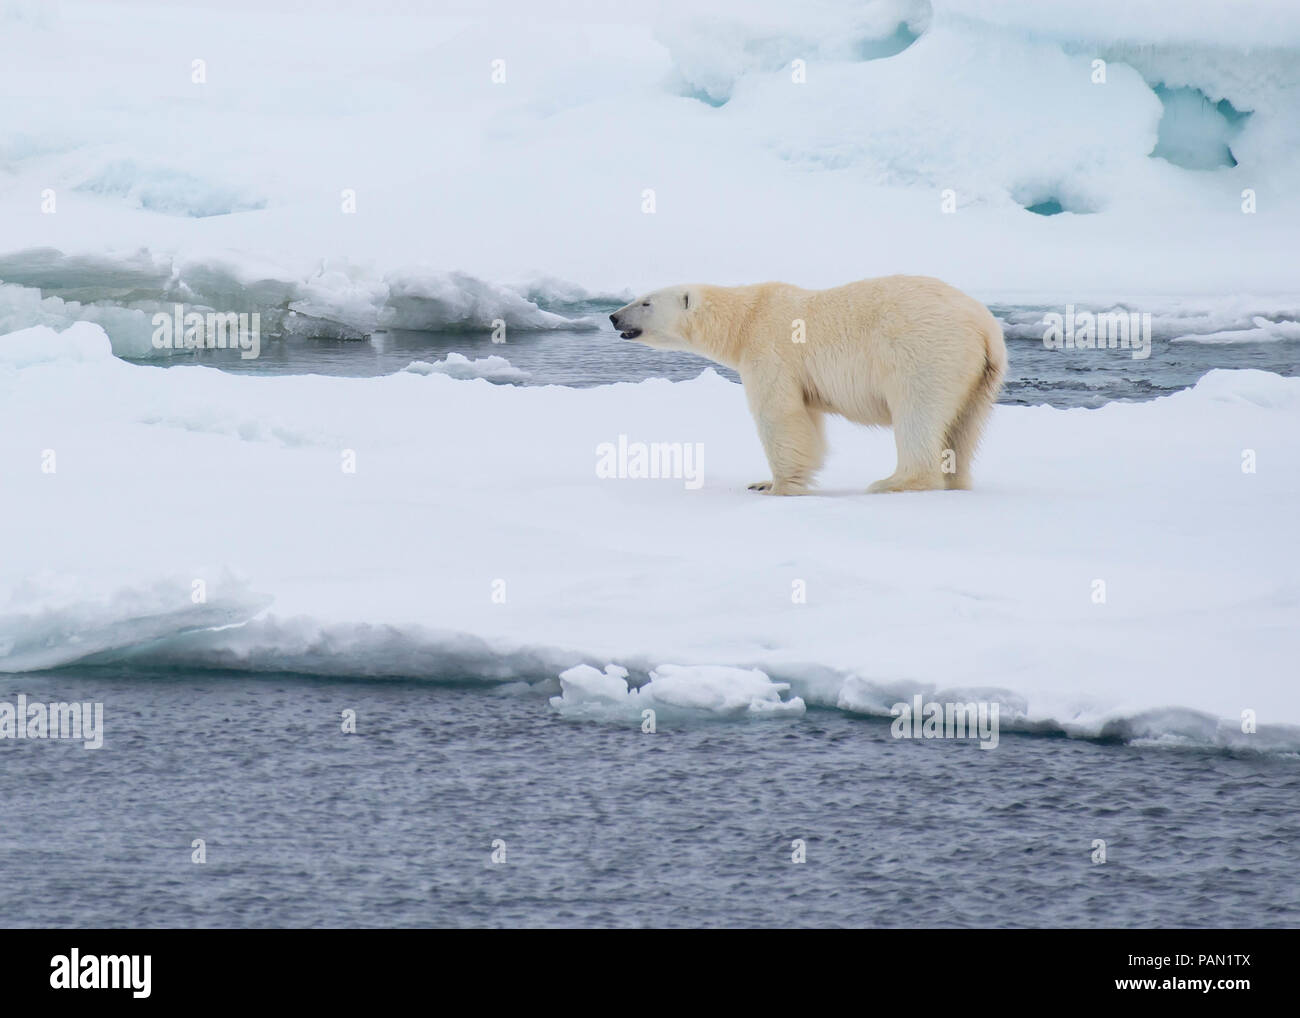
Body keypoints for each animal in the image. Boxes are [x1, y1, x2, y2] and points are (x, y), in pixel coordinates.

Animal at [608, 276, 1003, 496]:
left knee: (917, 413)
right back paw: (955, 480)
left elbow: (779, 415)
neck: (746, 318)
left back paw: (893, 482)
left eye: (645, 302)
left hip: (925, 353)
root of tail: (985, 327)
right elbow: (807, 418)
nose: (613, 316)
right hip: (979, 376)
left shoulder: (771, 350)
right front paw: (762, 483)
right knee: (964, 427)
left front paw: (779, 487)